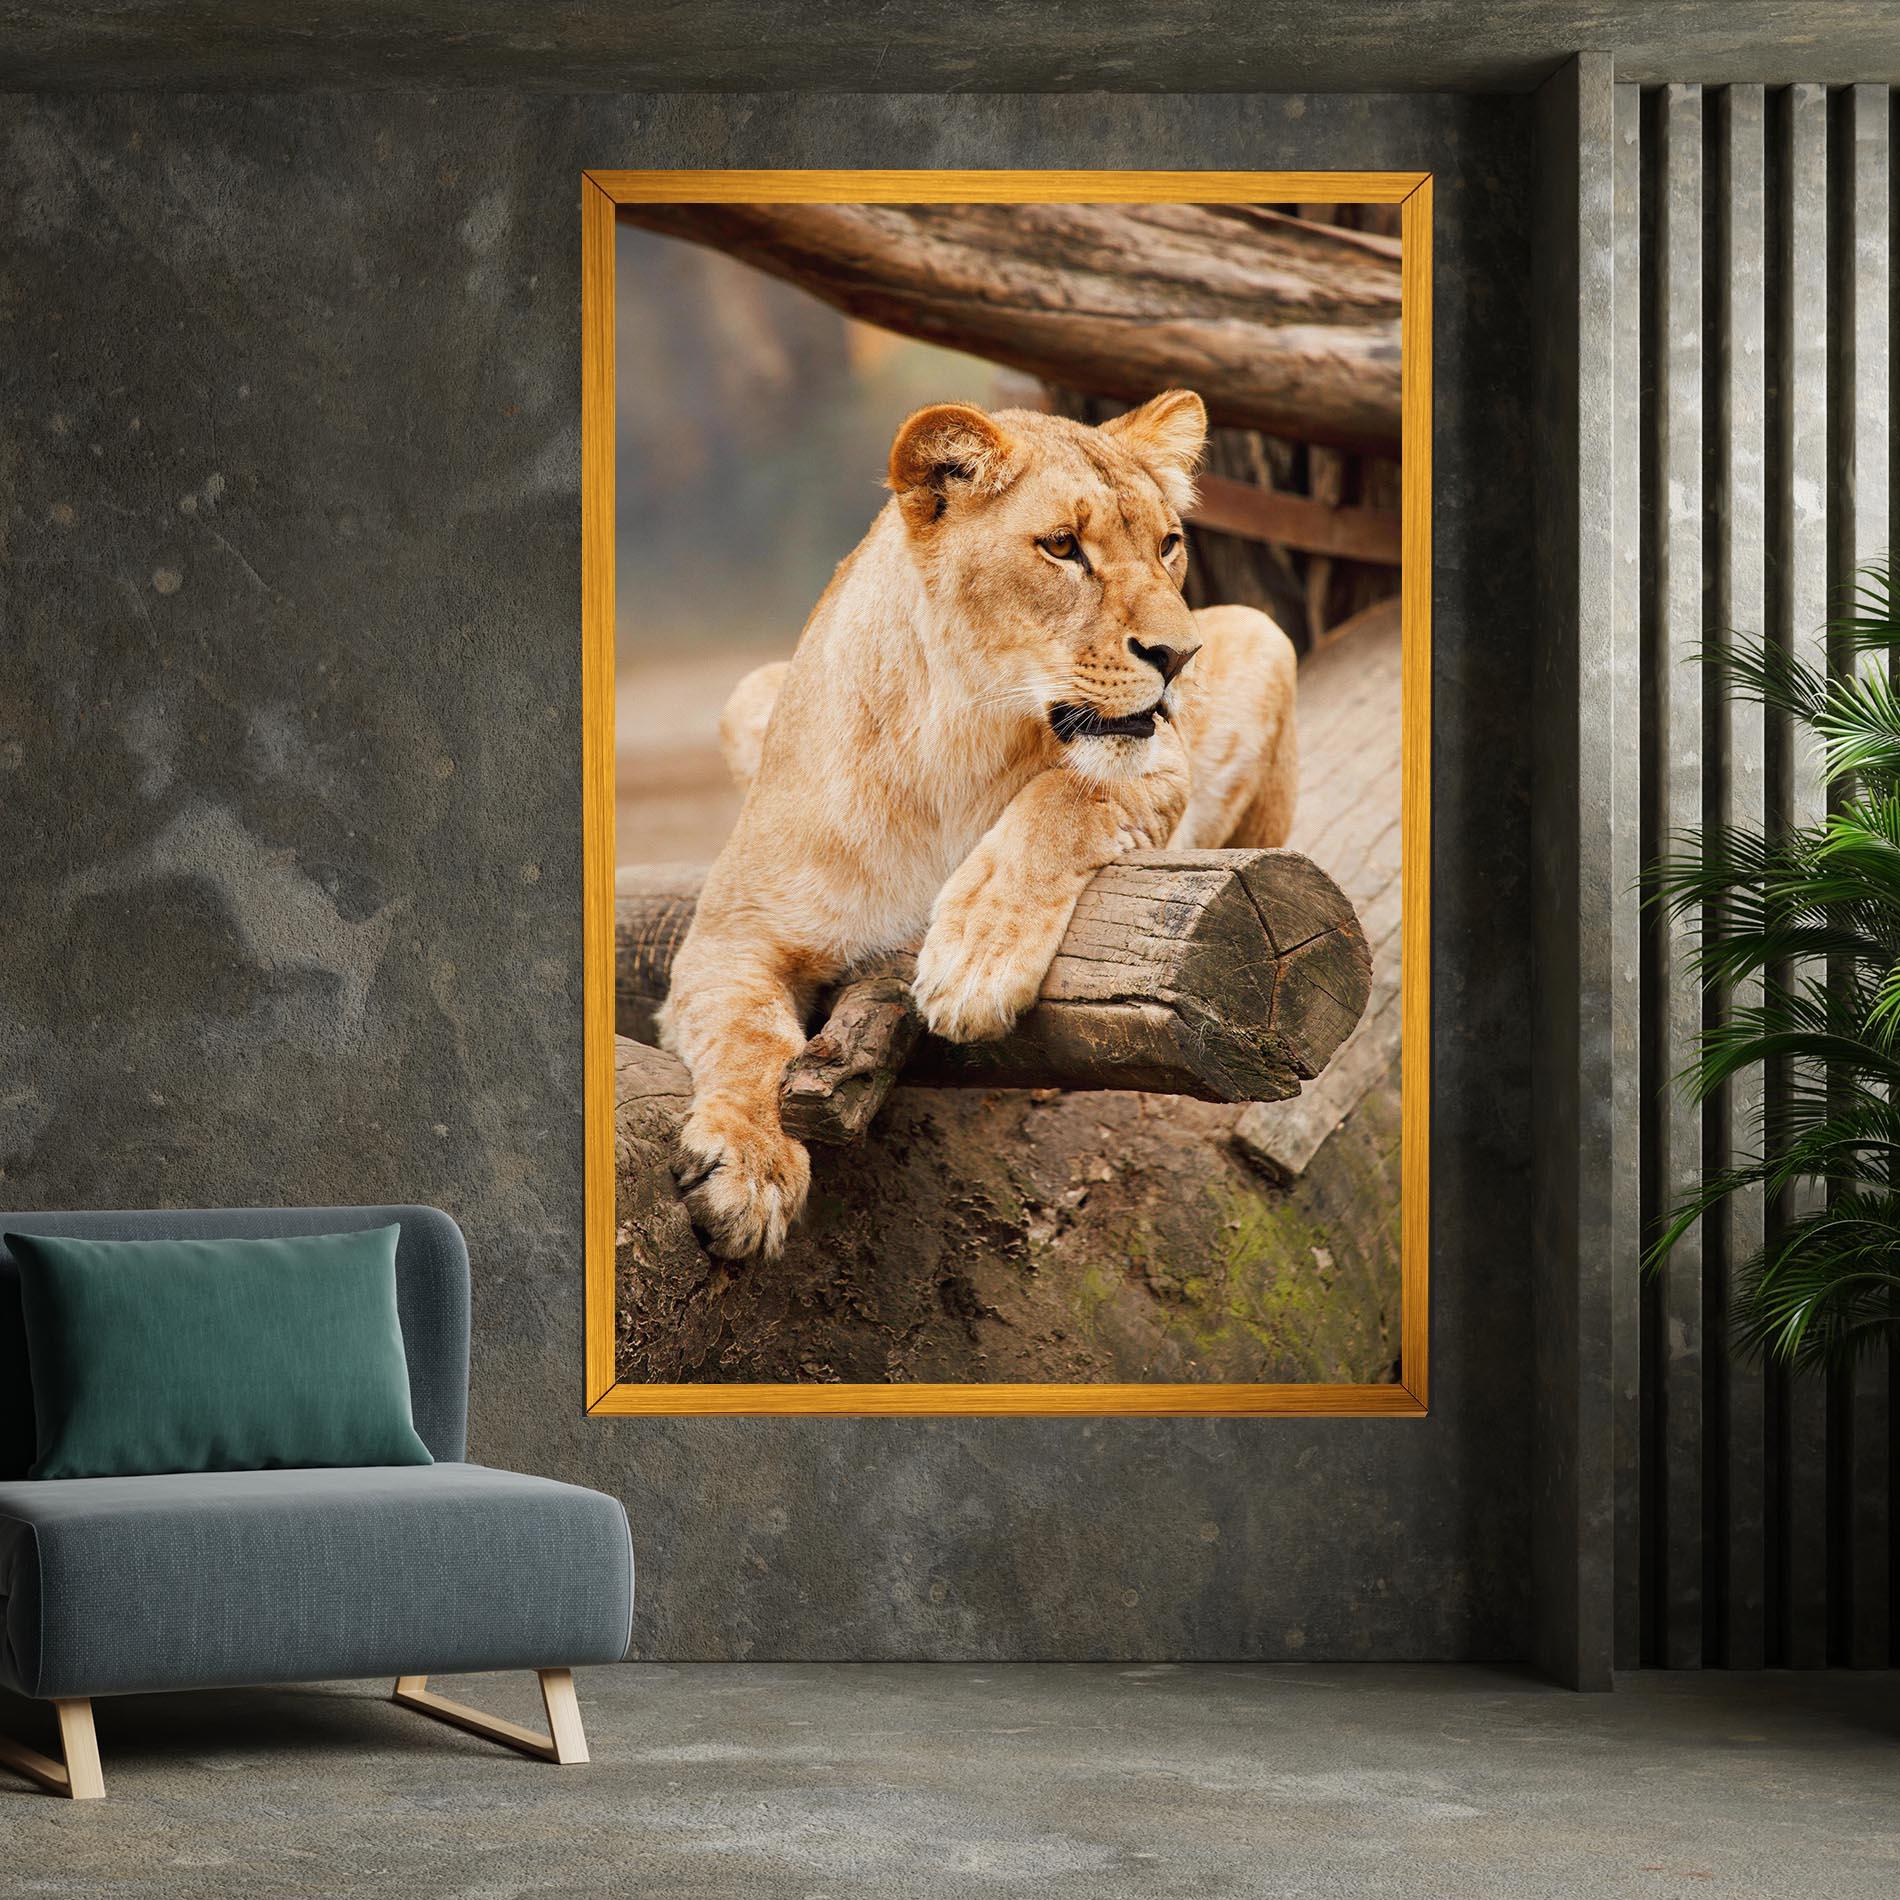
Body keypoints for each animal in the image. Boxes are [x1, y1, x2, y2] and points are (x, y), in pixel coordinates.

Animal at [658, 389, 1298, 1260]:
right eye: (1062, 546)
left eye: (1168, 545)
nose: (1180, 656)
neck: (955, 743)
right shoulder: (730, 933)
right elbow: (746, 1034)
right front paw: (750, 1168)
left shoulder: (1162, 763)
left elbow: (1064, 797)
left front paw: (973, 964)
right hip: (747, 692)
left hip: (1266, 635)